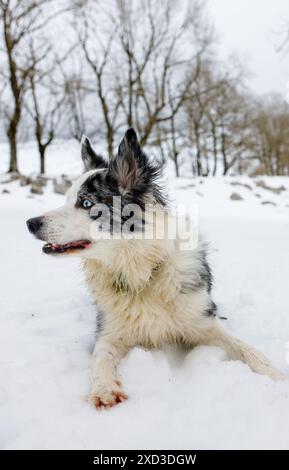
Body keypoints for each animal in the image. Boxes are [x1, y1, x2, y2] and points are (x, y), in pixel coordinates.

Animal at [25, 127, 284, 408]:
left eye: (85, 203)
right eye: (66, 199)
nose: (30, 223)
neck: (142, 273)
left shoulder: (202, 322)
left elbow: (247, 348)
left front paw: (277, 375)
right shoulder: (110, 331)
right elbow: (101, 356)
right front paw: (104, 388)